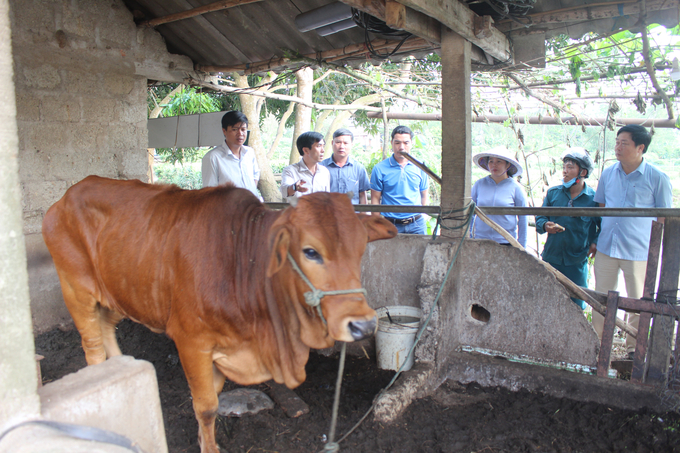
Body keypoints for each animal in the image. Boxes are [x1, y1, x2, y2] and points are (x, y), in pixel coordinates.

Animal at [42, 175, 396, 450]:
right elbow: (206, 407)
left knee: (107, 331)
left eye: (361, 249)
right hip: (77, 291)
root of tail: (66, 197)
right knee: (92, 347)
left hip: (119, 297)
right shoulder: (191, 341)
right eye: (310, 251)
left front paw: (204, 440)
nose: (363, 325)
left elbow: (212, 396)